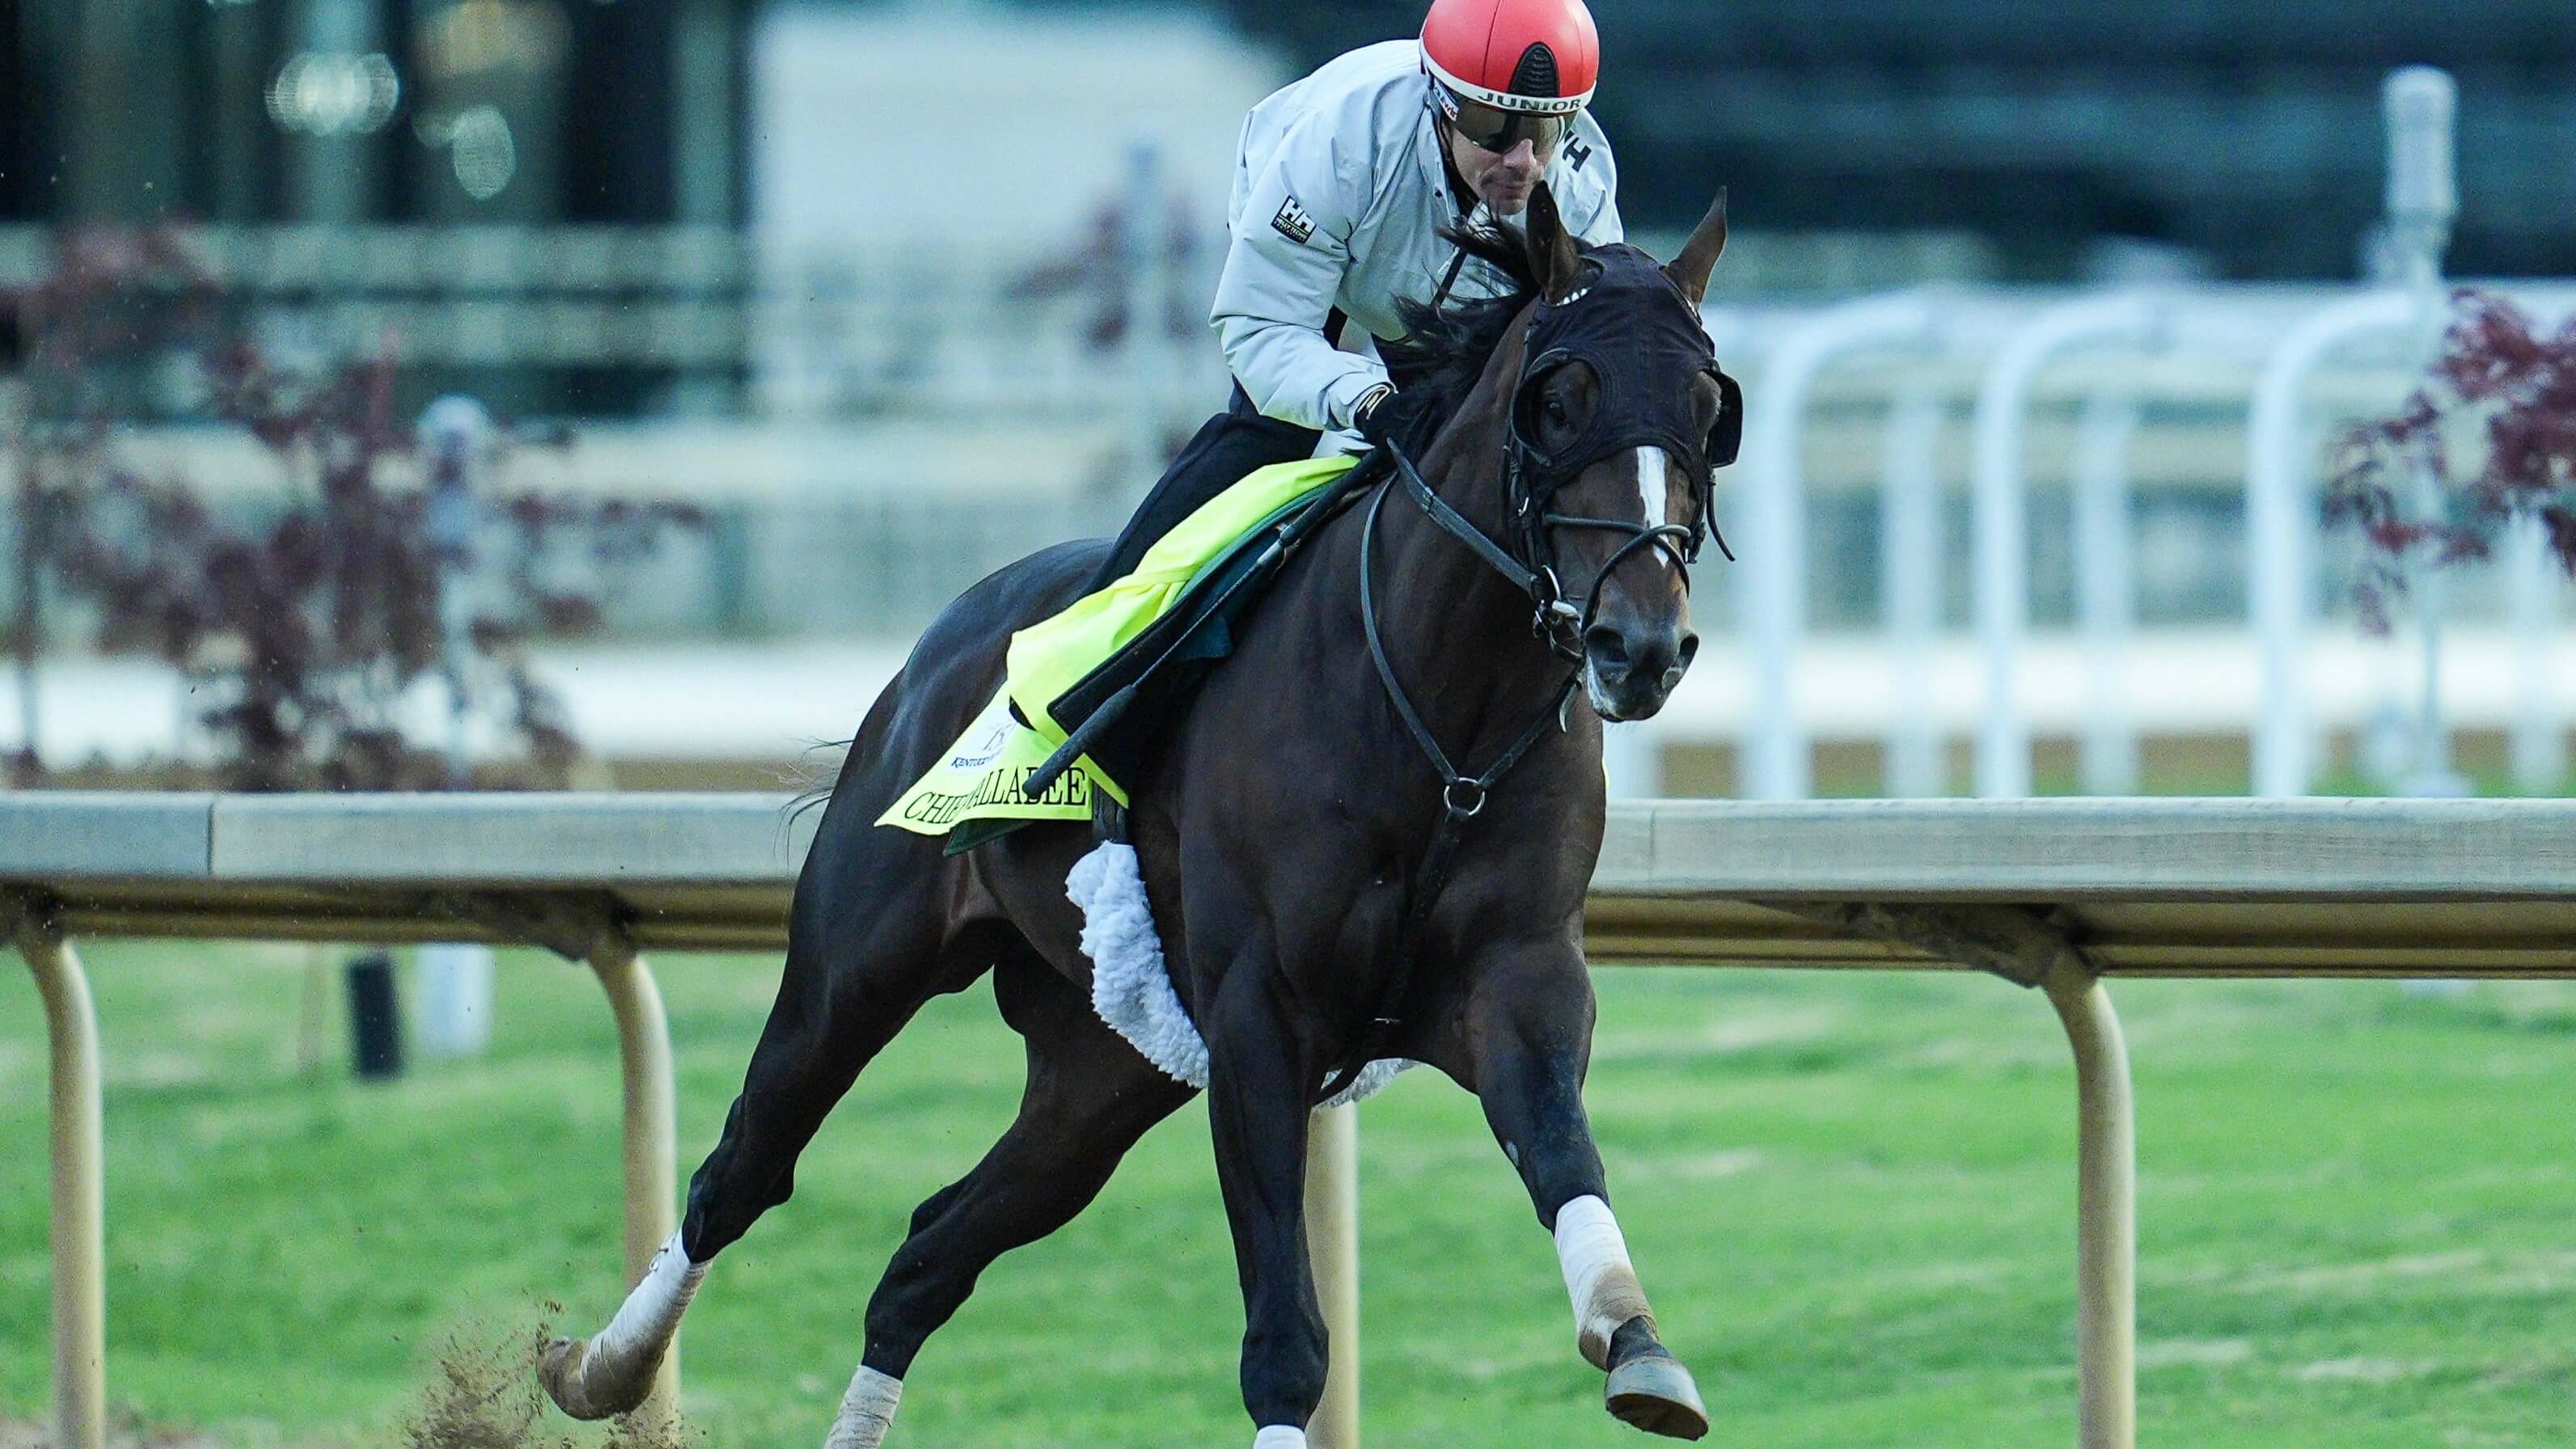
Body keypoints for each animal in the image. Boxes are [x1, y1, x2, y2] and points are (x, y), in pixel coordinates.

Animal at [539, 182, 1739, 1448]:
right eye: (1558, 402)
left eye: (1709, 408)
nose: (1639, 645)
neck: (1444, 727)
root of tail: (931, 650)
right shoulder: (1262, 1017)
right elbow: (1285, 1342)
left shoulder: (1517, 982)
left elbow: (1564, 1157)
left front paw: (1639, 1345)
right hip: (855, 967)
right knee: (743, 1168)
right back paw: (603, 1370)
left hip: (1106, 1068)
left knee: (926, 1254)